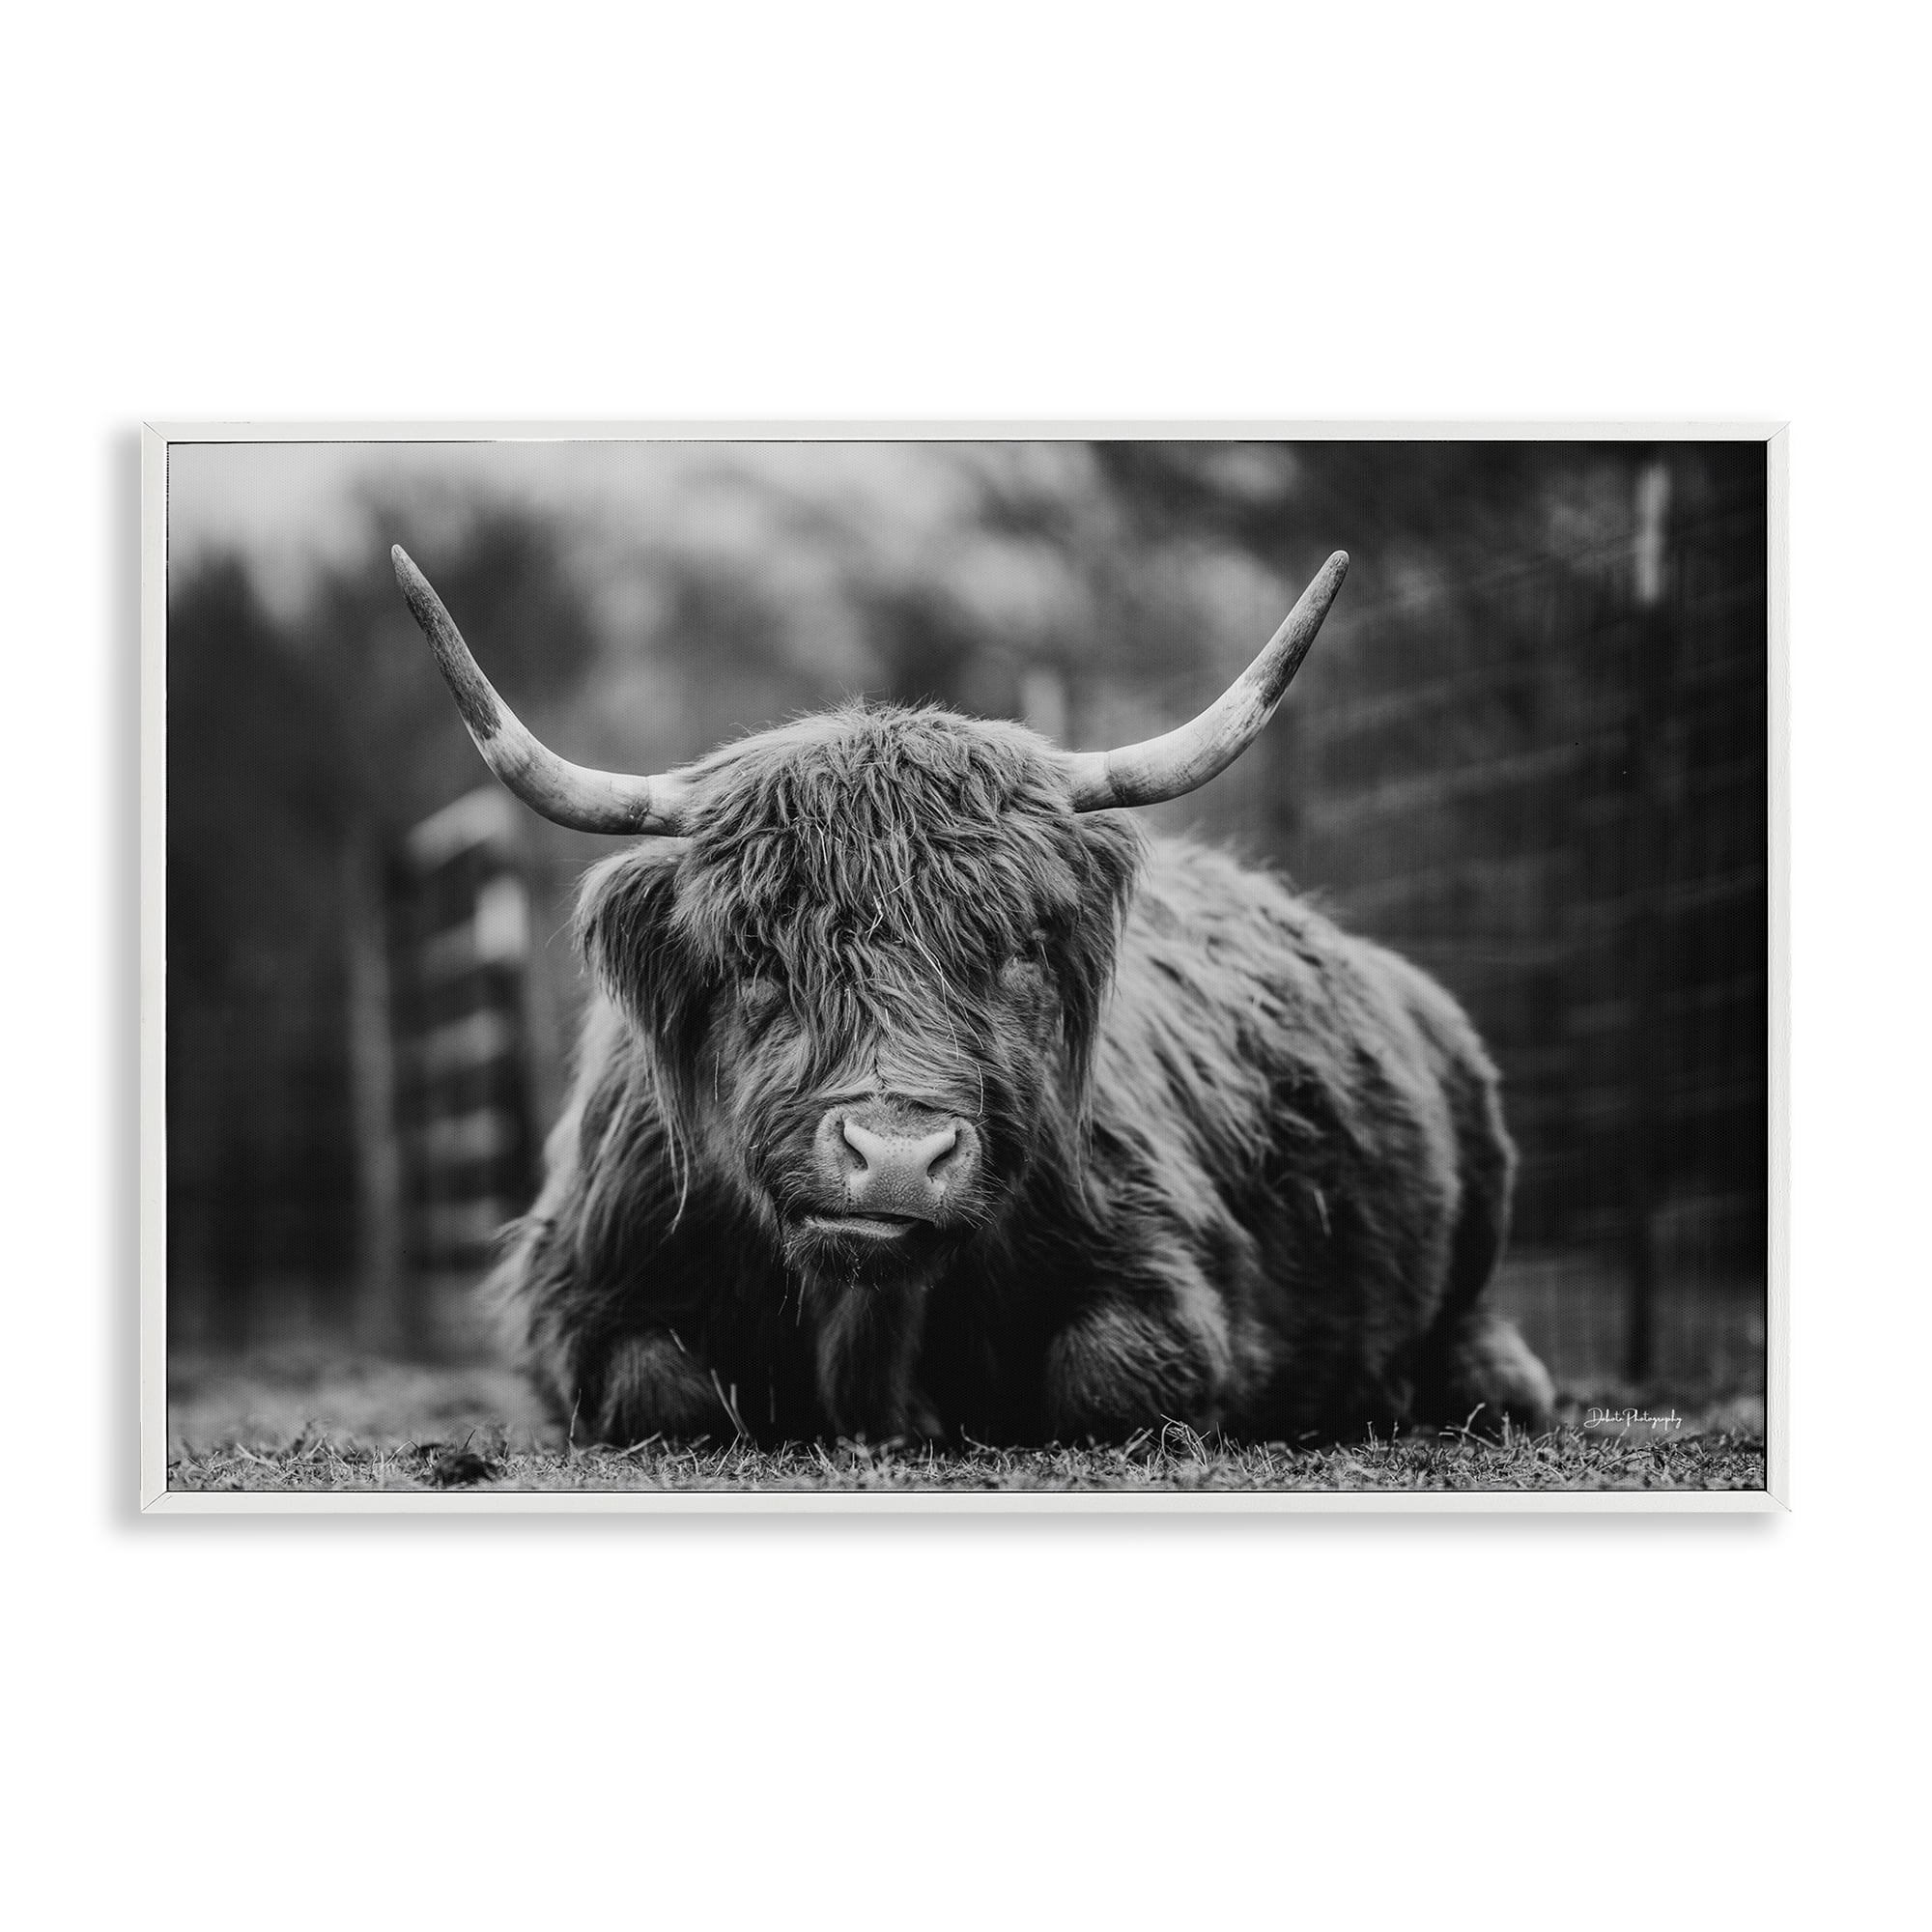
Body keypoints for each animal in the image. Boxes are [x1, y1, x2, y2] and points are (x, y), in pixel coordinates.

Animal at [393, 542, 1556, 1447]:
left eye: (1015, 951)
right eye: (759, 956)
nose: (898, 1157)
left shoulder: (1168, 1276)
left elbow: (1108, 1375)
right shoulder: (578, 1294)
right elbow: (656, 1389)